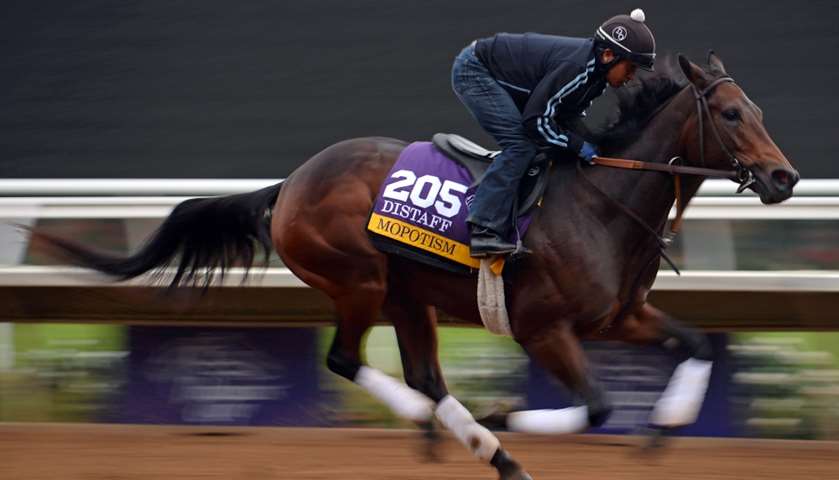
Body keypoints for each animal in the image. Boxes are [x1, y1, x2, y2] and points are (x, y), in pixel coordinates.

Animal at [29, 52, 798, 480]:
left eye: (759, 108)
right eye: (732, 114)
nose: (783, 178)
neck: (600, 201)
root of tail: (291, 183)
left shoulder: (620, 316)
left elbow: (697, 345)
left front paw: (663, 429)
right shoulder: (543, 328)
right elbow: (598, 405)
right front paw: (504, 412)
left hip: (408, 295)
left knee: (425, 376)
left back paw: (484, 448)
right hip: (359, 280)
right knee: (351, 361)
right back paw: (452, 430)